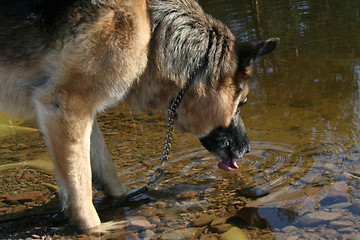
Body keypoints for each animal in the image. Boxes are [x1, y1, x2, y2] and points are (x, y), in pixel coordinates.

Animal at [0, 0, 278, 231]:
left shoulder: (85, 112)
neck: (152, 31)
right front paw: (95, 229)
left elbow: (108, 173)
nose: (248, 149)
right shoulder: (66, 108)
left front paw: (128, 202)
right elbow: (80, 189)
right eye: (243, 103)